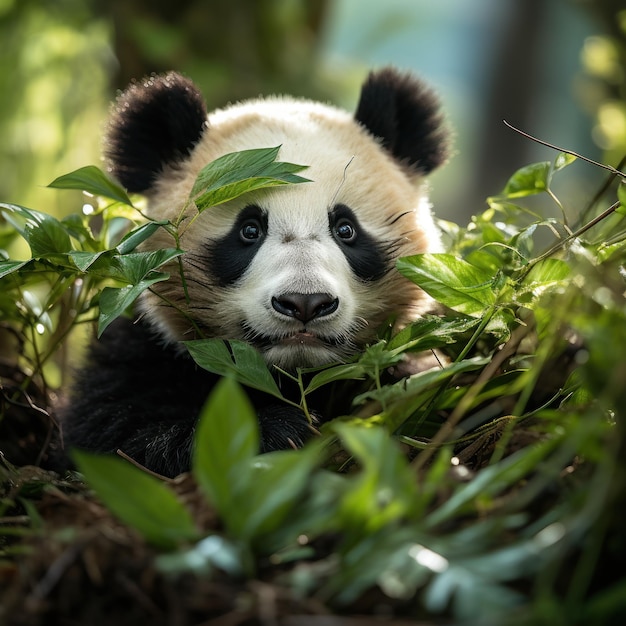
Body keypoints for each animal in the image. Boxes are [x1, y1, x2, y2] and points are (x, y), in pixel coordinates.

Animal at [59, 68, 448, 476]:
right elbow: (123, 432)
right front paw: (281, 432)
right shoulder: (144, 352)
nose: (305, 303)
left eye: (346, 229)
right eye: (249, 230)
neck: (292, 378)